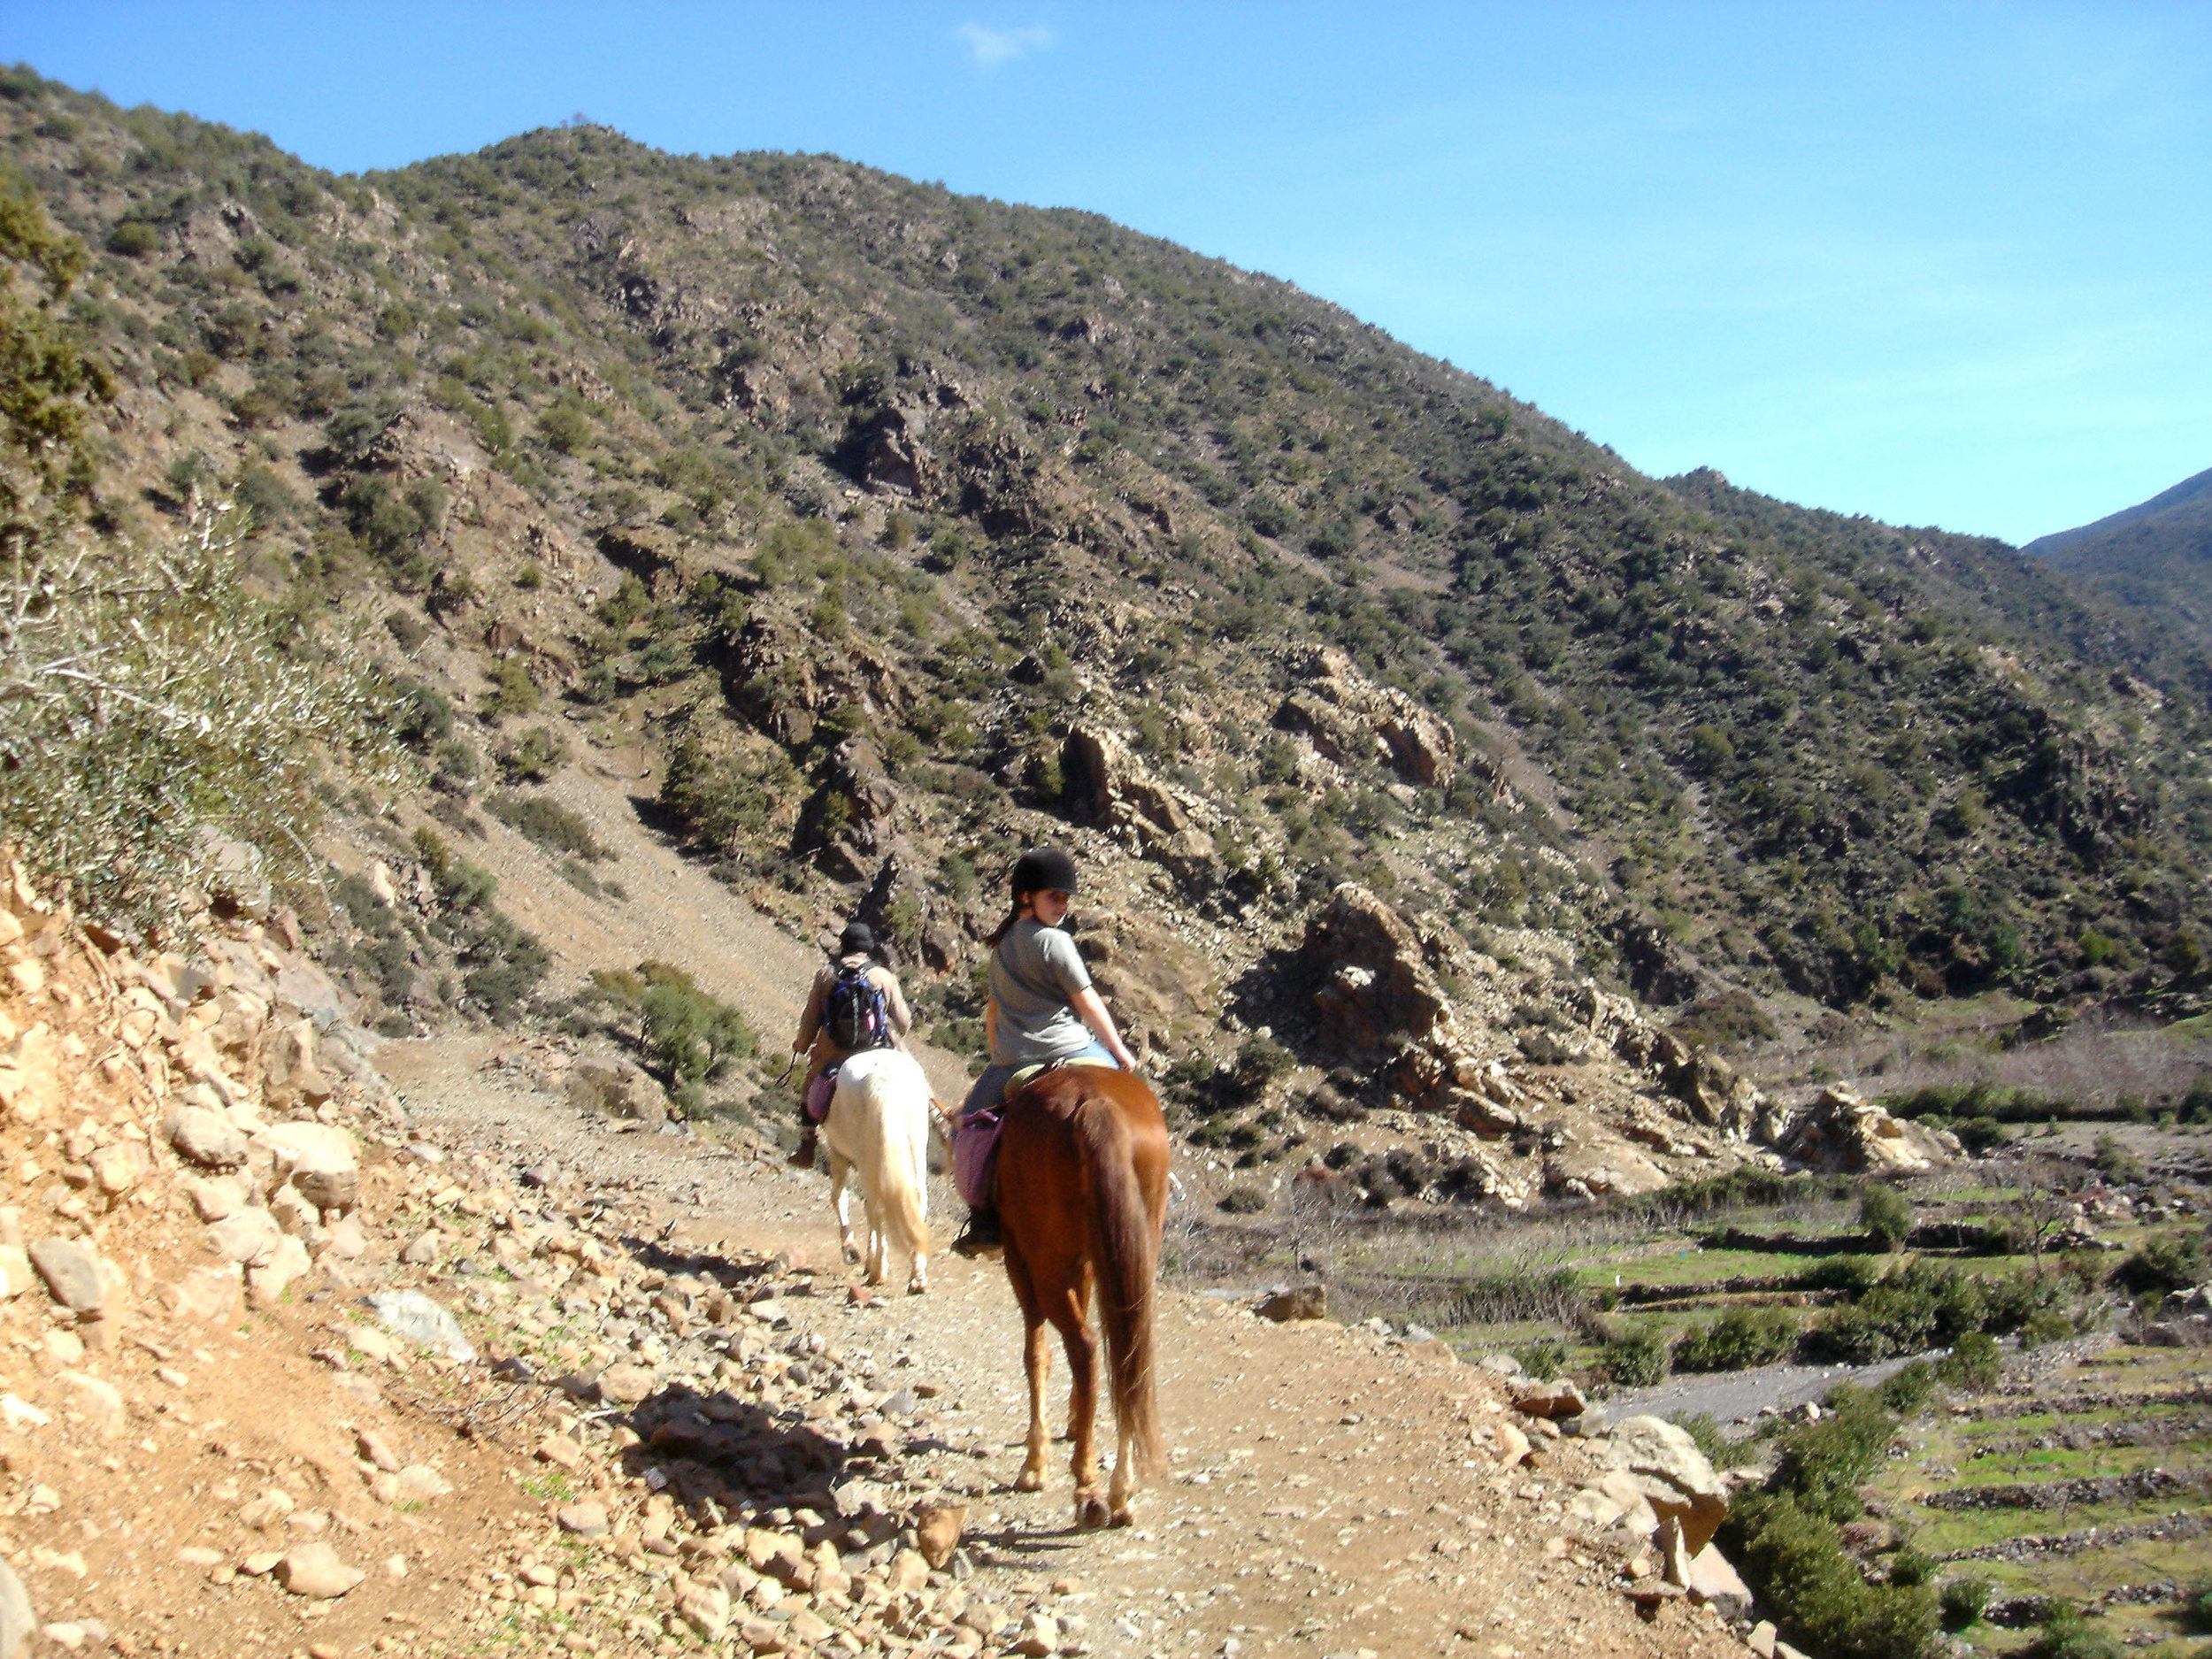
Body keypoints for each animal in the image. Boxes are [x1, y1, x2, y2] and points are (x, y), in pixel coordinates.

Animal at [827, 1053, 938, 1301]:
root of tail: (883, 1080)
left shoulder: (837, 1154)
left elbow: (839, 1197)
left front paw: (852, 1250)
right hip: (915, 1149)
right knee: (917, 1200)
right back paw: (917, 1278)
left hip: (866, 1161)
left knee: (876, 1207)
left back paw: (878, 1272)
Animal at [1000, 1066, 1177, 1531]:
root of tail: (1095, 1101)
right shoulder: (1087, 1263)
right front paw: (1076, 1420)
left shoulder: (1020, 1260)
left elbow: (1036, 1354)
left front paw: (1035, 1463)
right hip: (1137, 1248)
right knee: (1128, 1354)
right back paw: (1121, 1491)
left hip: (1043, 1261)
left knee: (1084, 1346)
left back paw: (1087, 1488)